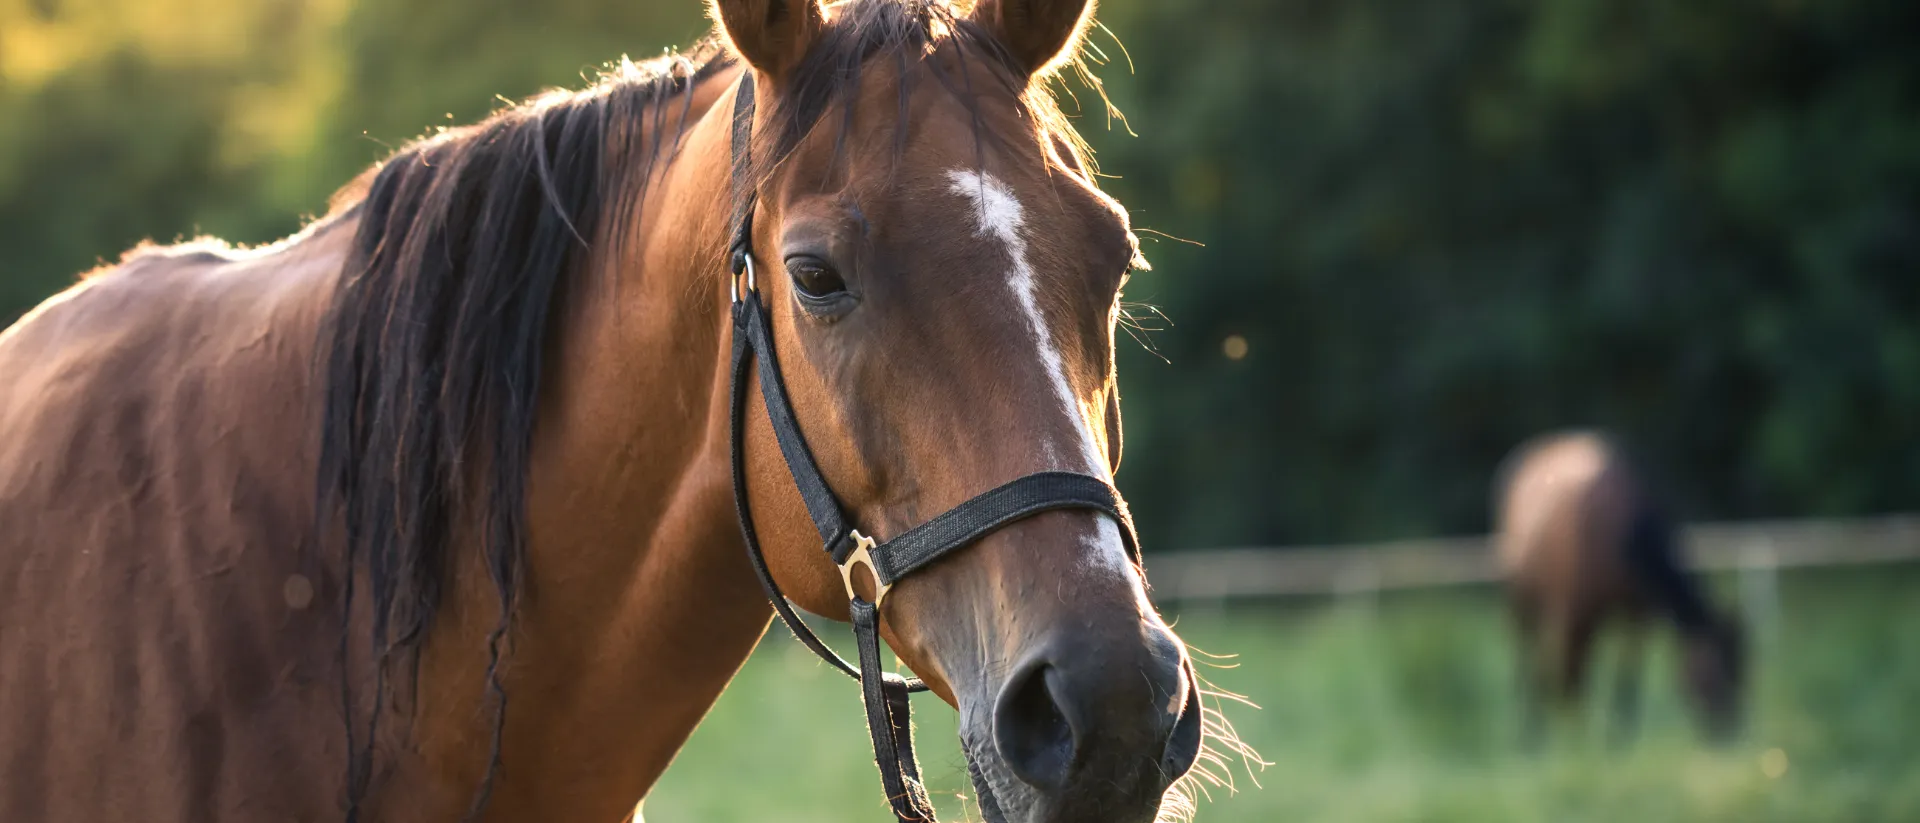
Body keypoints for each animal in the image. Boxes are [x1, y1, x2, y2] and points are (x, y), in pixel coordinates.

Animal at [1493, 430, 1745, 743]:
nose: (1730, 733)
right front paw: (1576, 740)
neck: (1622, 531)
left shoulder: (1638, 617)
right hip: (1523, 601)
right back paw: (1530, 732)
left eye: (1742, 674)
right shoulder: (1578, 614)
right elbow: (1572, 677)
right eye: (1714, 674)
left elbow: (1627, 676)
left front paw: (1619, 737)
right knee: (1529, 661)